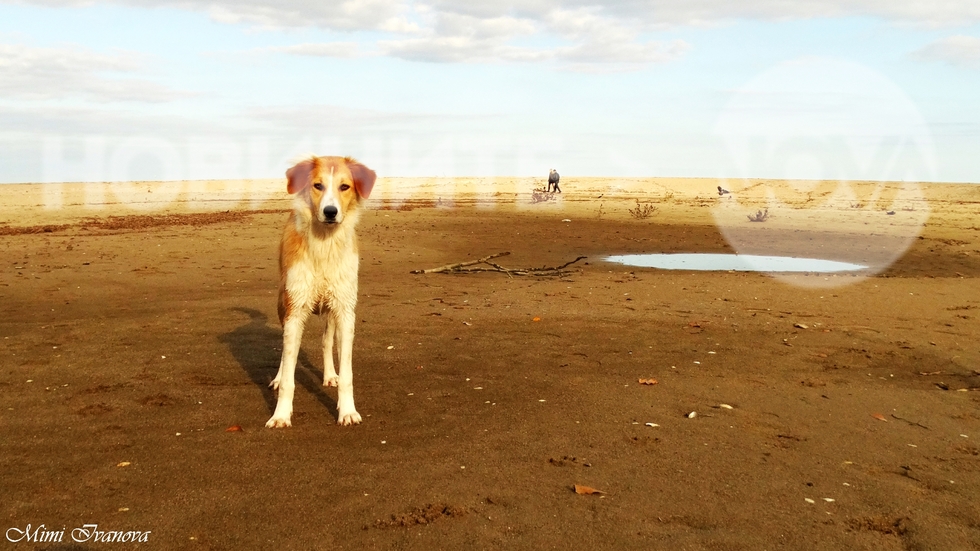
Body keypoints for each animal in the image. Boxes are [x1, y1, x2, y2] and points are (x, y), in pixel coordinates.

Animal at [264, 157, 376, 430]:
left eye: (345, 187)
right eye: (317, 185)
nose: (330, 212)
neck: (325, 244)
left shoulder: (345, 310)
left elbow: (346, 372)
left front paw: (347, 411)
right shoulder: (295, 310)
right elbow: (289, 373)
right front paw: (280, 415)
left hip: (332, 310)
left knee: (327, 341)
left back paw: (330, 375)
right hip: (283, 303)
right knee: (285, 350)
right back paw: (278, 377)